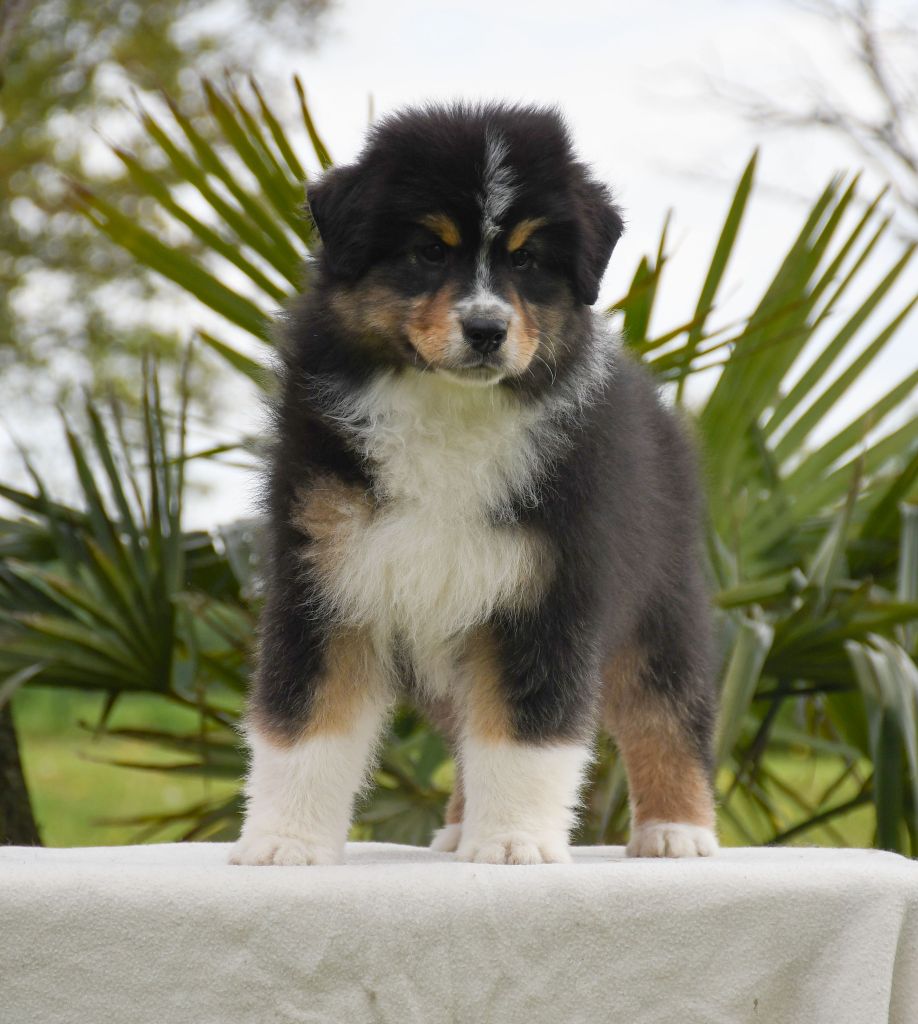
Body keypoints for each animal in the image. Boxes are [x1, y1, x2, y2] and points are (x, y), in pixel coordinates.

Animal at [229, 103, 717, 868]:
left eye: (526, 260)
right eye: (430, 251)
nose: (487, 329)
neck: (449, 405)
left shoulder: (546, 585)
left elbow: (524, 730)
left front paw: (514, 843)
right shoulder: (325, 574)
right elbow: (306, 721)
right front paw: (284, 844)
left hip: (659, 600)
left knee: (664, 709)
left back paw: (678, 831)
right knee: (465, 730)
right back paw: (460, 827)